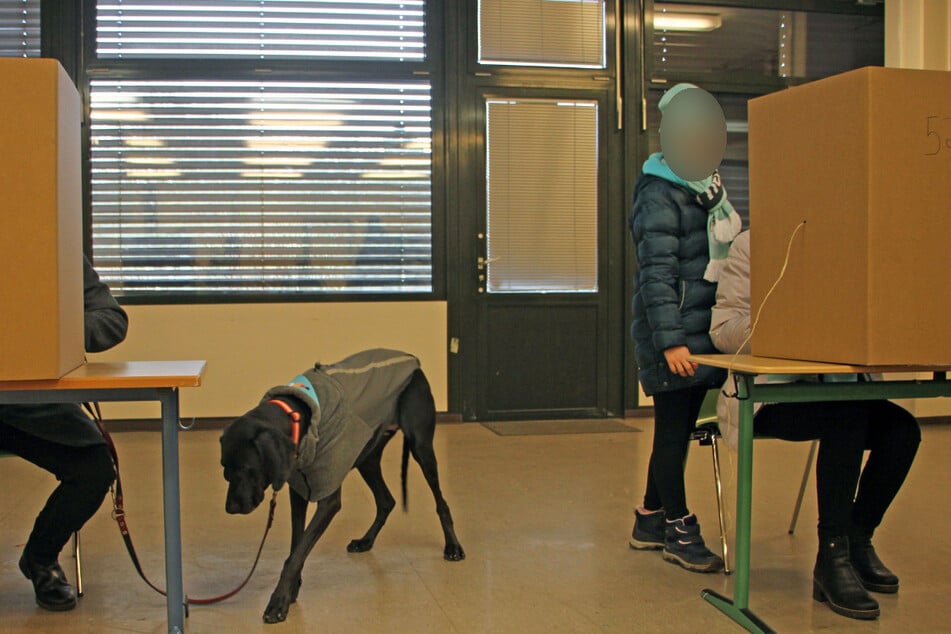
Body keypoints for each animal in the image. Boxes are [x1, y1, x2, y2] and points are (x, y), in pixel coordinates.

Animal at [220, 350, 464, 624]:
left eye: (245, 469)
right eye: (225, 469)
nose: (230, 508)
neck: (298, 417)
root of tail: (411, 359)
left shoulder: (328, 500)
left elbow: (297, 553)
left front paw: (278, 601)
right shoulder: (298, 491)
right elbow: (296, 546)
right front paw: (291, 590)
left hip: (420, 446)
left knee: (440, 502)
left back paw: (453, 546)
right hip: (367, 455)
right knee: (386, 500)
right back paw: (365, 541)